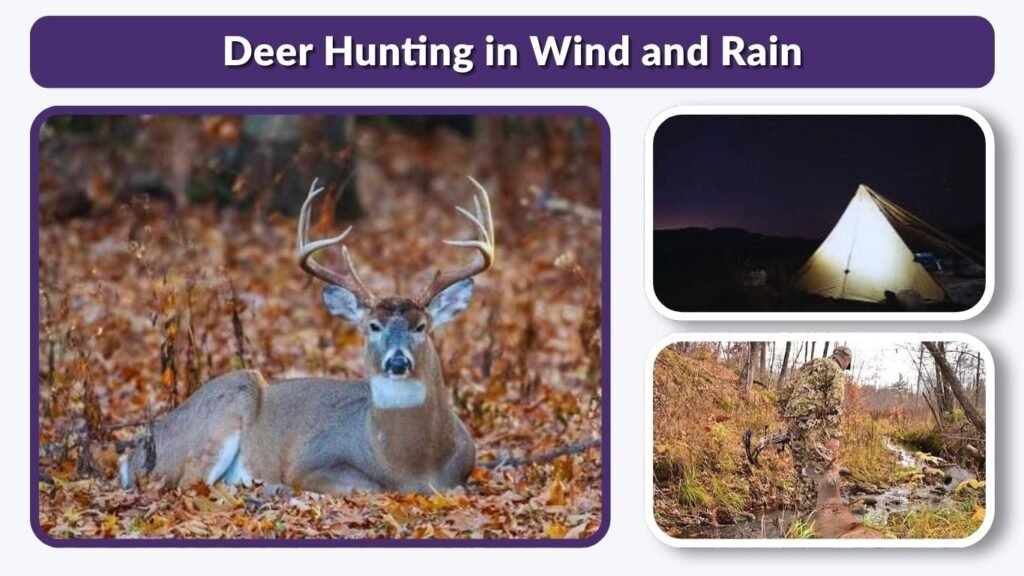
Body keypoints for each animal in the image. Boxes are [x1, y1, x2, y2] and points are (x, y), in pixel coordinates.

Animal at [118, 176, 495, 494]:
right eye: (372, 326)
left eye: (421, 326)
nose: (398, 361)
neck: (413, 466)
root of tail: (134, 455)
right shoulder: (310, 461)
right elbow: (368, 487)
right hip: (224, 406)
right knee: (188, 483)